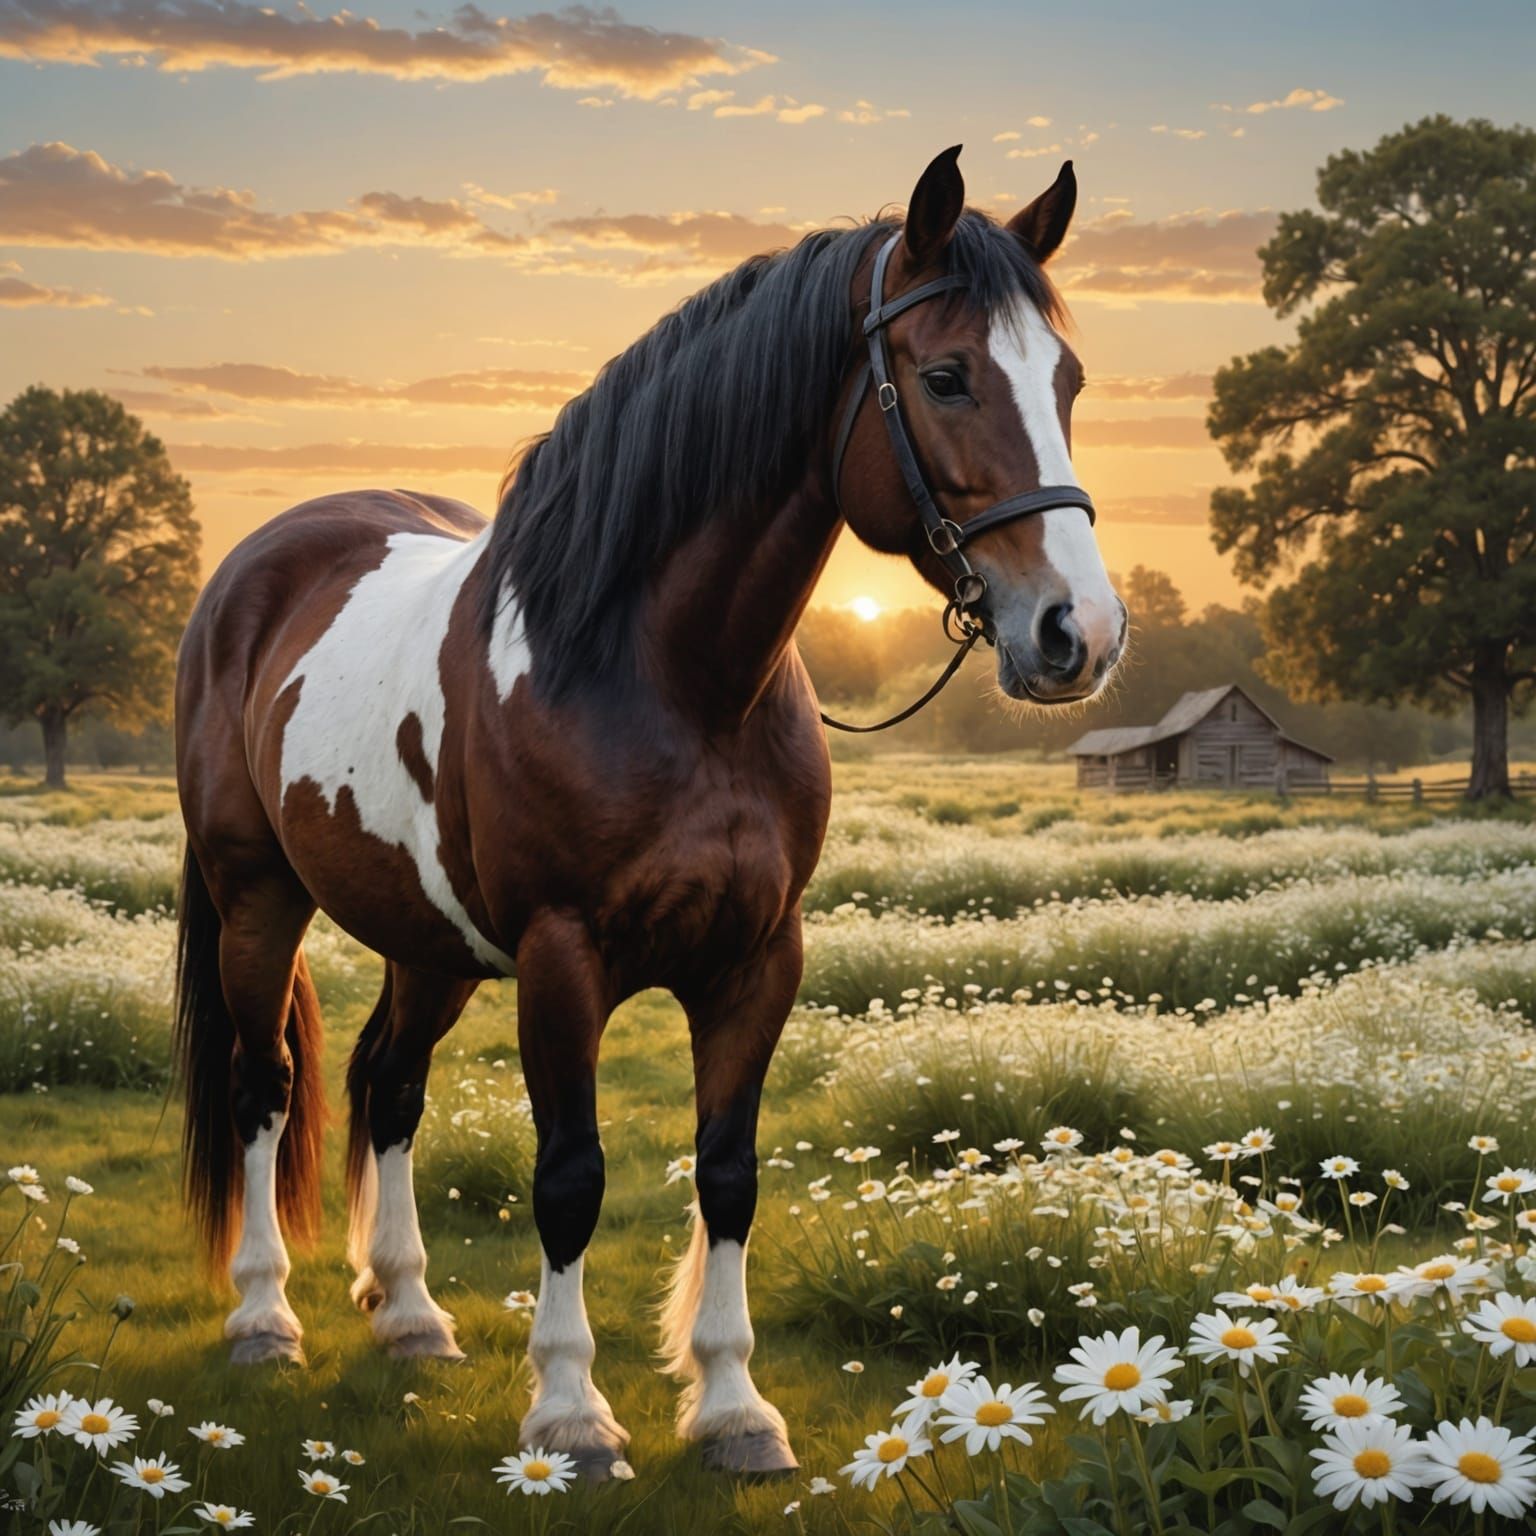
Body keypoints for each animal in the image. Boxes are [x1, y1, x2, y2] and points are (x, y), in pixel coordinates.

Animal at [172, 144, 1126, 1479]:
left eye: (1069, 381)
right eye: (945, 375)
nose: (1078, 633)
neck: (670, 679)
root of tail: (254, 569)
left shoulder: (756, 960)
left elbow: (728, 1174)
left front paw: (733, 1411)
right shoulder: (562, 957)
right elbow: (570, 1177)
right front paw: (571, 1415)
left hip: (432, 942)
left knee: (388, 1087)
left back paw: (411, 1317)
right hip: (259, 899)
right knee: (263, 1085)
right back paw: (264, 1319)